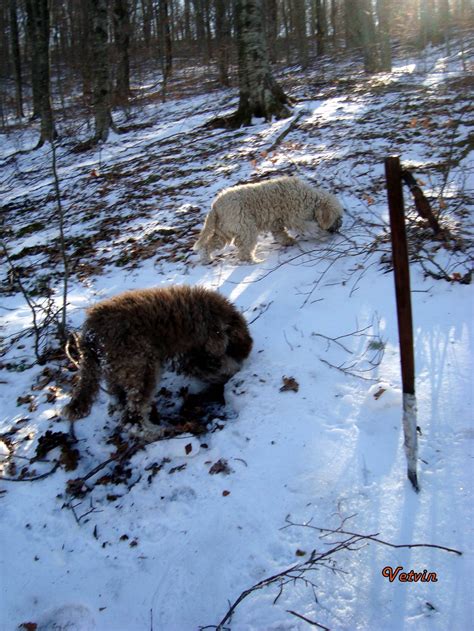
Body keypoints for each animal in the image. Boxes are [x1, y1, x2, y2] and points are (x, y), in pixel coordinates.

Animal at [65, 288, 254, 436]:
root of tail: (89, 335)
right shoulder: (199, 349)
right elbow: (216, 365)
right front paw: (232, 372)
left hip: (115, 371)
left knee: (118, 402)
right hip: (142, 367)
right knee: (133, 419)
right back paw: (159, 432)